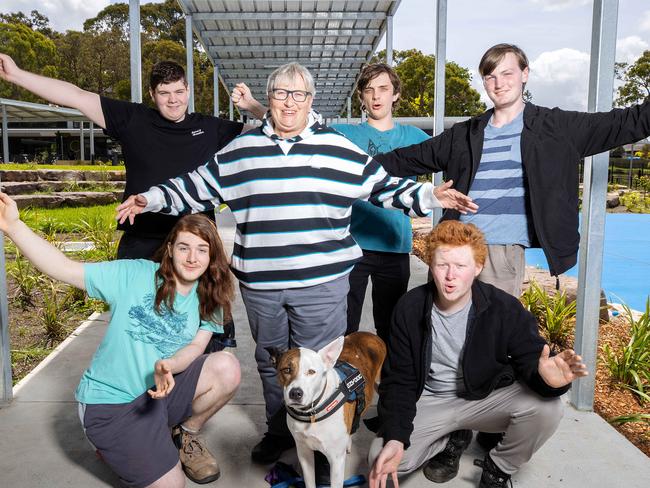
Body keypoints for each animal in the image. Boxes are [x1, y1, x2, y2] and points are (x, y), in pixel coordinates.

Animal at [268, 332, 384, 488]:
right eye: (286, 370)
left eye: (311, 372)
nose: (295, 393)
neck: (312, 411)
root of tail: (369, 334)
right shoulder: (304, 454)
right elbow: (310, 482)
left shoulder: (336, 461)